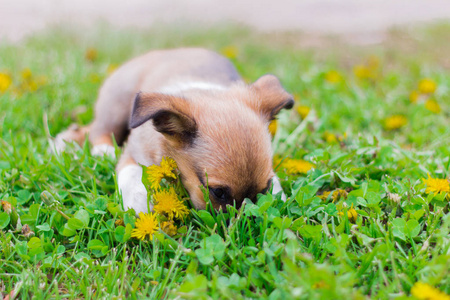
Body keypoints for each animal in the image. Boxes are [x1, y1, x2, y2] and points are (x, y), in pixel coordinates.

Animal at [53, 47, 292, 213]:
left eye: (265, 188)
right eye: (218, 193)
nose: (241, 219)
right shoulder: (132, 154)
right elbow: (131, 175)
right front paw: (141, 204)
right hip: (116, 106)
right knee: (97, 130)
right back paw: (101, 150)